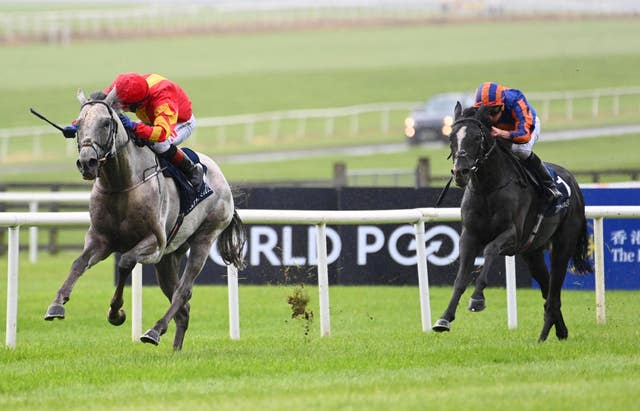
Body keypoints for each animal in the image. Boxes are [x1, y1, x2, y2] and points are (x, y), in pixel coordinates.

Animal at [44, 88, 245, 352]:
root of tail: (222, 178)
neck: (121, 185)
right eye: (78, 124)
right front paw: (57, 304)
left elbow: (125, 262)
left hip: (203, 237)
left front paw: (116, 312)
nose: (87, 162)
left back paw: (154, 331)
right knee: (183, 305)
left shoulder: (154, 243)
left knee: (183, 291)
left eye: (106, 122)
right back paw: (175, 349)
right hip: (170, 256)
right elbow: (78, 263)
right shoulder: (100, 239)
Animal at [432, 103, 592, 342]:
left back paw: (543, 337)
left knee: (554, 292)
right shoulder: (469, 236)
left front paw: (477, 299)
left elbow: (489, 250)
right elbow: (460, 278)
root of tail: (573, 181)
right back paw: (560, 331)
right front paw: (444, 319)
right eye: (451, 137)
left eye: (477, 137)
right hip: (532, 253)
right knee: (548, 290)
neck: (488, 188)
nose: (460, 172)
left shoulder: (513, 234)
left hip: (563, 245)